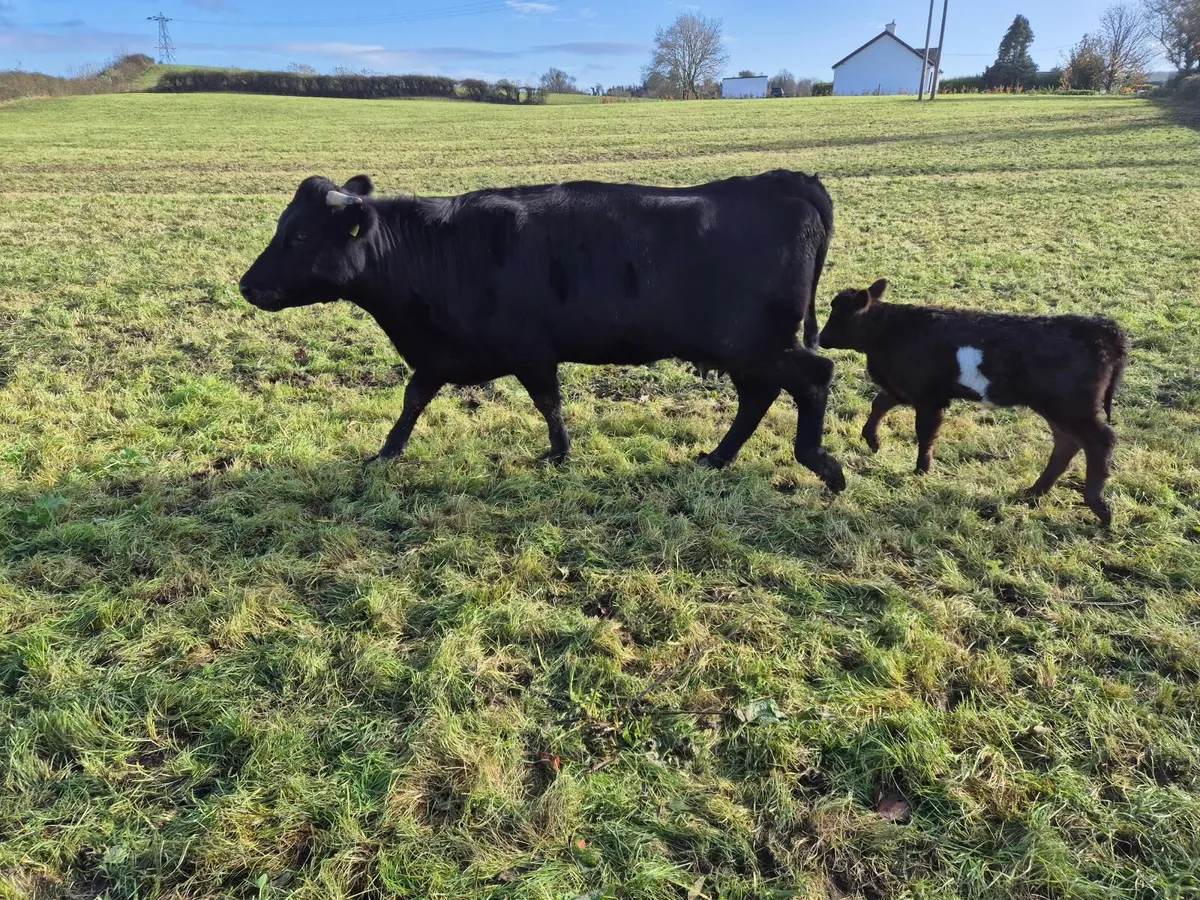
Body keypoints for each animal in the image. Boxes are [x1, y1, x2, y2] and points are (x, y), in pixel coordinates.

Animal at [238, 171, 845, 492]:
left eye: (300, 236)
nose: (247, 285)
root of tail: (786, 183)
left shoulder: (530, 349)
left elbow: (548, 401)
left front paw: (558, 453)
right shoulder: (440, 355)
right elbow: (412, 401)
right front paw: (385, 453)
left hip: (759, 341)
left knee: (814, 374)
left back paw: (821, 463)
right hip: (744, 349)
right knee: (759, 395)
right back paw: (718, 457)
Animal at [819, 279, 1128, 526]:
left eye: (839, 315)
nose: (821, 338)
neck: (890, 331)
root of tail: (1103, 329)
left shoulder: (928, 397)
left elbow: (925, 433)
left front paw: (921, 471)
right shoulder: (902, 388)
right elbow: (879, 404)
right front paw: (872, 441)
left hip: (1072, 408)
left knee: (1099, 441)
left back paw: (1098, 507)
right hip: (1058, 409)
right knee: (1067, 444)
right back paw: (1033, 493)